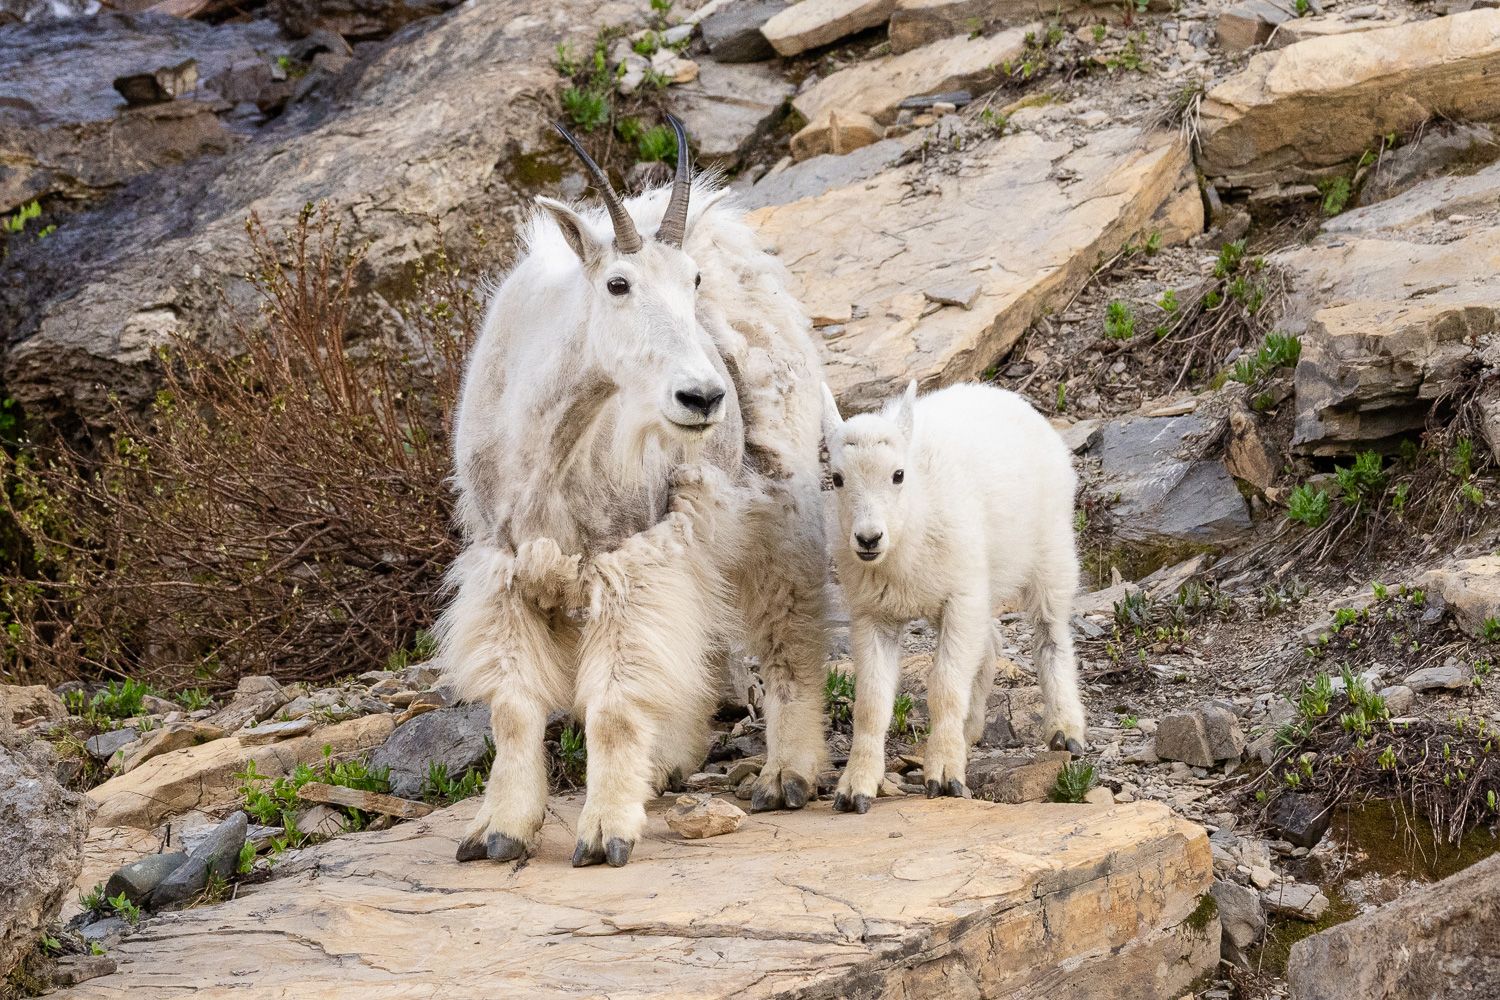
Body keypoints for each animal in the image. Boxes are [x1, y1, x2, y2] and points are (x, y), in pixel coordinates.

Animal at [440, 117, 829, 867]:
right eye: (617, 284)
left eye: (691, 282)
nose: (703, 397)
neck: (553, 445)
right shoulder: (505, 566)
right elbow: (513, 707)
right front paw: (499, 830)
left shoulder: (631, 553)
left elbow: (615, 706)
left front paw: (604, 833)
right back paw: (669, 764)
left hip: (776, 495)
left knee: (787, 627)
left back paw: (788, 774)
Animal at [820, 380, 1087, 813]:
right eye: (838, 478)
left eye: (898, 474)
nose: (868, 539)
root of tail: (1012, 399)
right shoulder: (873, 614)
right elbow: (872, 702)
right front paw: (855, 787)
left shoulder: (960, 598)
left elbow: (945, 685)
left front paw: (944, 776)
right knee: (990, 644)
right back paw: (970, 731)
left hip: (1052, 548)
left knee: (1051, 634)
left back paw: (1065, 728)